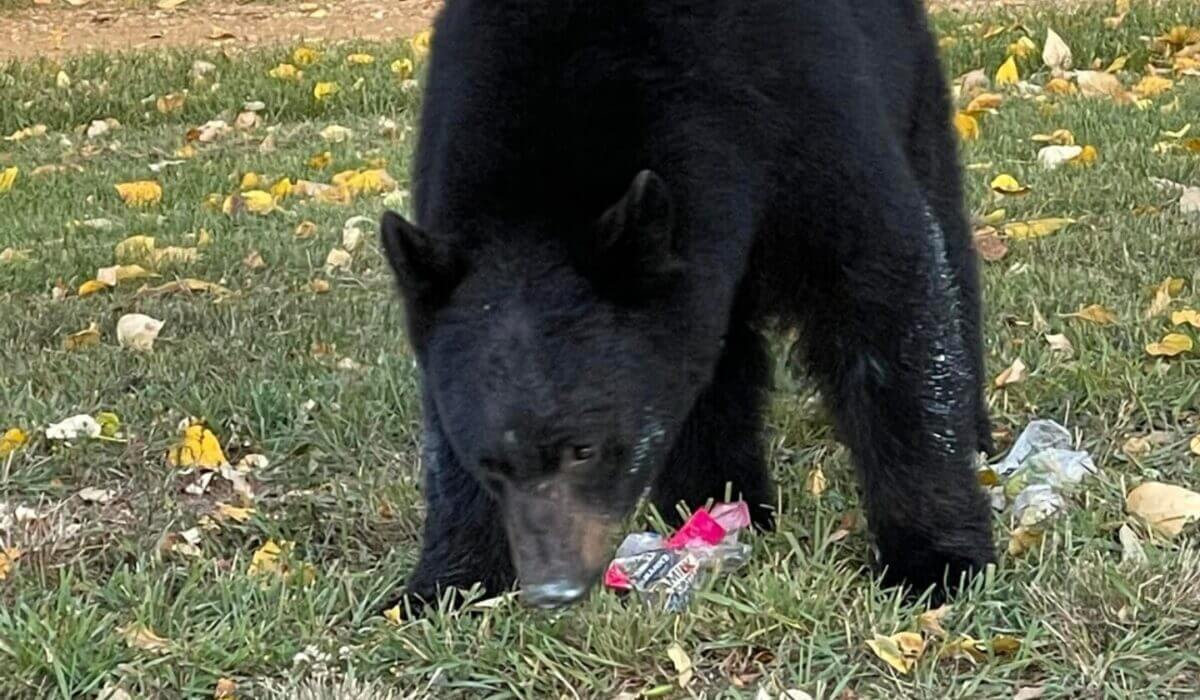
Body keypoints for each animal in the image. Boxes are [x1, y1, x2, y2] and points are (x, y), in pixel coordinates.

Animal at [380, 0, 995, 610]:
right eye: (490, 463)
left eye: (584, 448)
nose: (554, 588)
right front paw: (447, 579)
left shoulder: (805, 117)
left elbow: (885, 296)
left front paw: (935, 560)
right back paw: (715, 498)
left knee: (947, 241)